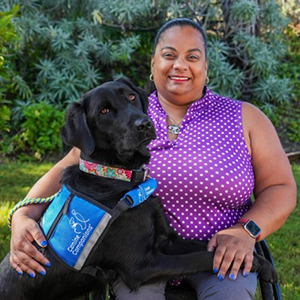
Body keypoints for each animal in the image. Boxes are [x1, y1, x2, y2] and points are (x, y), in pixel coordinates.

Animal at [0, 79, 276, 300]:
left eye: (131, 97)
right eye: (104, 111)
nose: (144, 124)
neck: (119, 178)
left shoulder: (167, 241)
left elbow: (208, 244)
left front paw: (257, 260)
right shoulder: (141, 266)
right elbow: (201, 257)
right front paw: (256, 263)